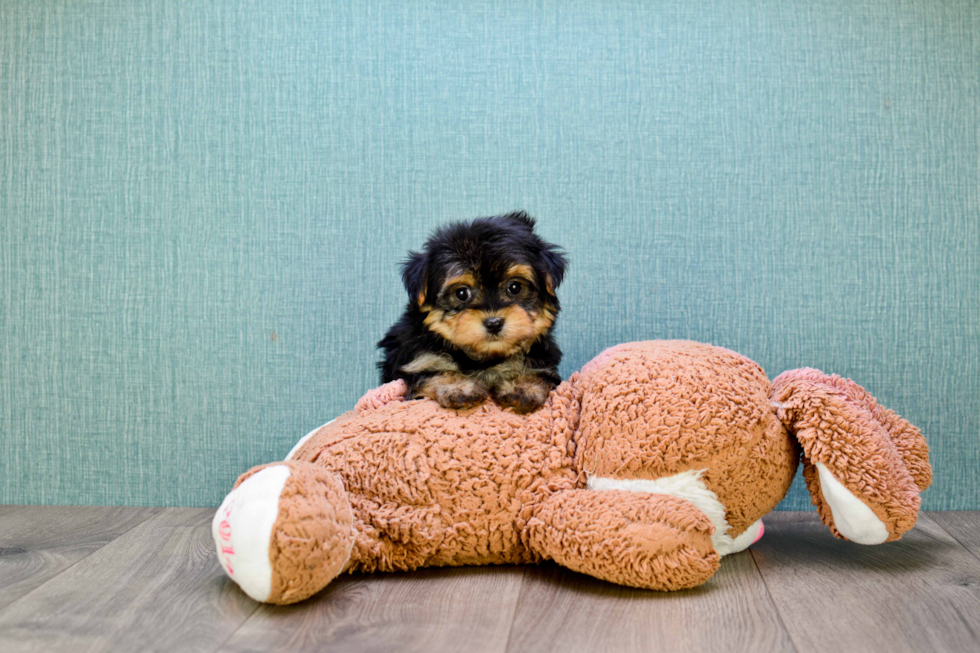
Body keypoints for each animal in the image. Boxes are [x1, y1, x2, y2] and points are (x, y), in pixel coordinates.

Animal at [380, 213, 568, 412]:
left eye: (515, 287)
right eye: (462, 293)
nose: (494, 323)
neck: (482, 358)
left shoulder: (544, 361)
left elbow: (536, 372)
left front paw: (523, 386)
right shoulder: (420, 360)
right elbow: (436, 371)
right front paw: (460, 387)